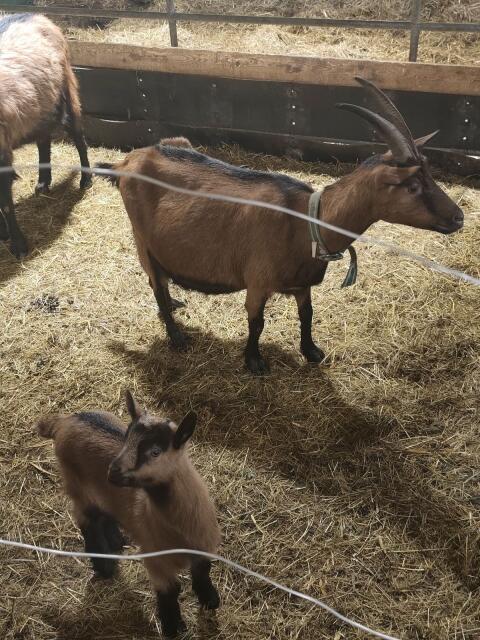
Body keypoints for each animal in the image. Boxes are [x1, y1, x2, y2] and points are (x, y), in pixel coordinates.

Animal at [0, 13, 91, 258]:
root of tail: (36, 15)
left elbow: (4, 201)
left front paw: (18, 245)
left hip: (65, 92)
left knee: (77, 134)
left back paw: (86, 179)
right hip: (40, 107)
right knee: (43, 139)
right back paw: (43, 182)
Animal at [37, 391, 220, 637]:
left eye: (155, 451)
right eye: (126, 439)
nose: (112, 472)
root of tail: (65, 420)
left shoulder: (203, 548)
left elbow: (202, 572)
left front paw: (210, 600)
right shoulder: (157, 560)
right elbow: (170, 592)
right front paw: (172, 627)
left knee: (104, 511)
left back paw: (116, 540)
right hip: (76, 485)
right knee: (87, 520)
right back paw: (104, 565)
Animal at [96, 77, 464, 374]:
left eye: (430, 174)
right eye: (412, 186)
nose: (459, 217)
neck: (306, 222)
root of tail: (125, 163)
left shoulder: (302, 283)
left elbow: (308, 315)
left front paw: (311, 351)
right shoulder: (258, 281)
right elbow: (256, 322)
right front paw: (254, 361)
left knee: (156, 279)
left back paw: (172, 306)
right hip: (142, 237)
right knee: (154, 280)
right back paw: (175, 334)